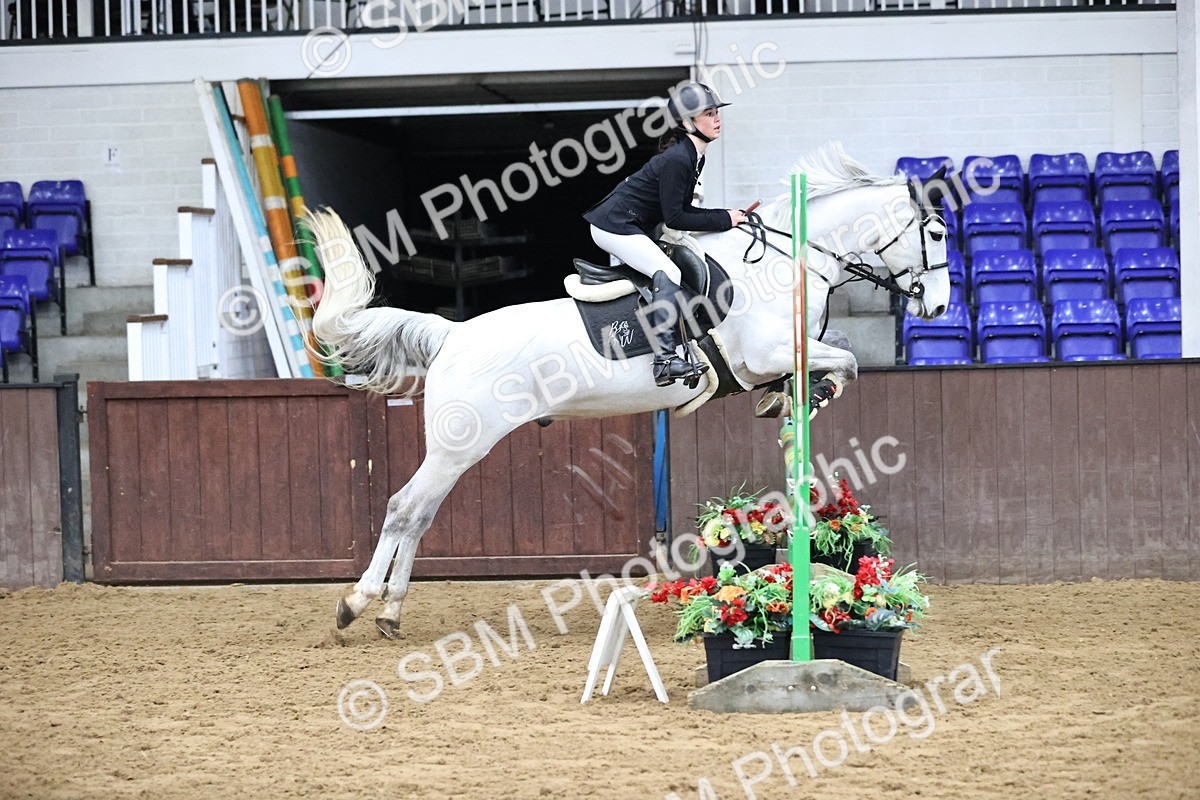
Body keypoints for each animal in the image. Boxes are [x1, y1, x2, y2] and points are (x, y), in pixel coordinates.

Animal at [306, 142, 951, 637]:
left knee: (419, 516)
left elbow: (837, 355)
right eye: (940, 232)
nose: (939, 307)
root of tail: (453, 334)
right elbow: (850, 360)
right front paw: (807, 395)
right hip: (460, 442)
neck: (785, 262)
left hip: (459, 447)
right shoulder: (764, 354)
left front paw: (798, 398)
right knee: (403, 509)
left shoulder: (779, 355)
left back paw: (390, 611)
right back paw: (357, 602)